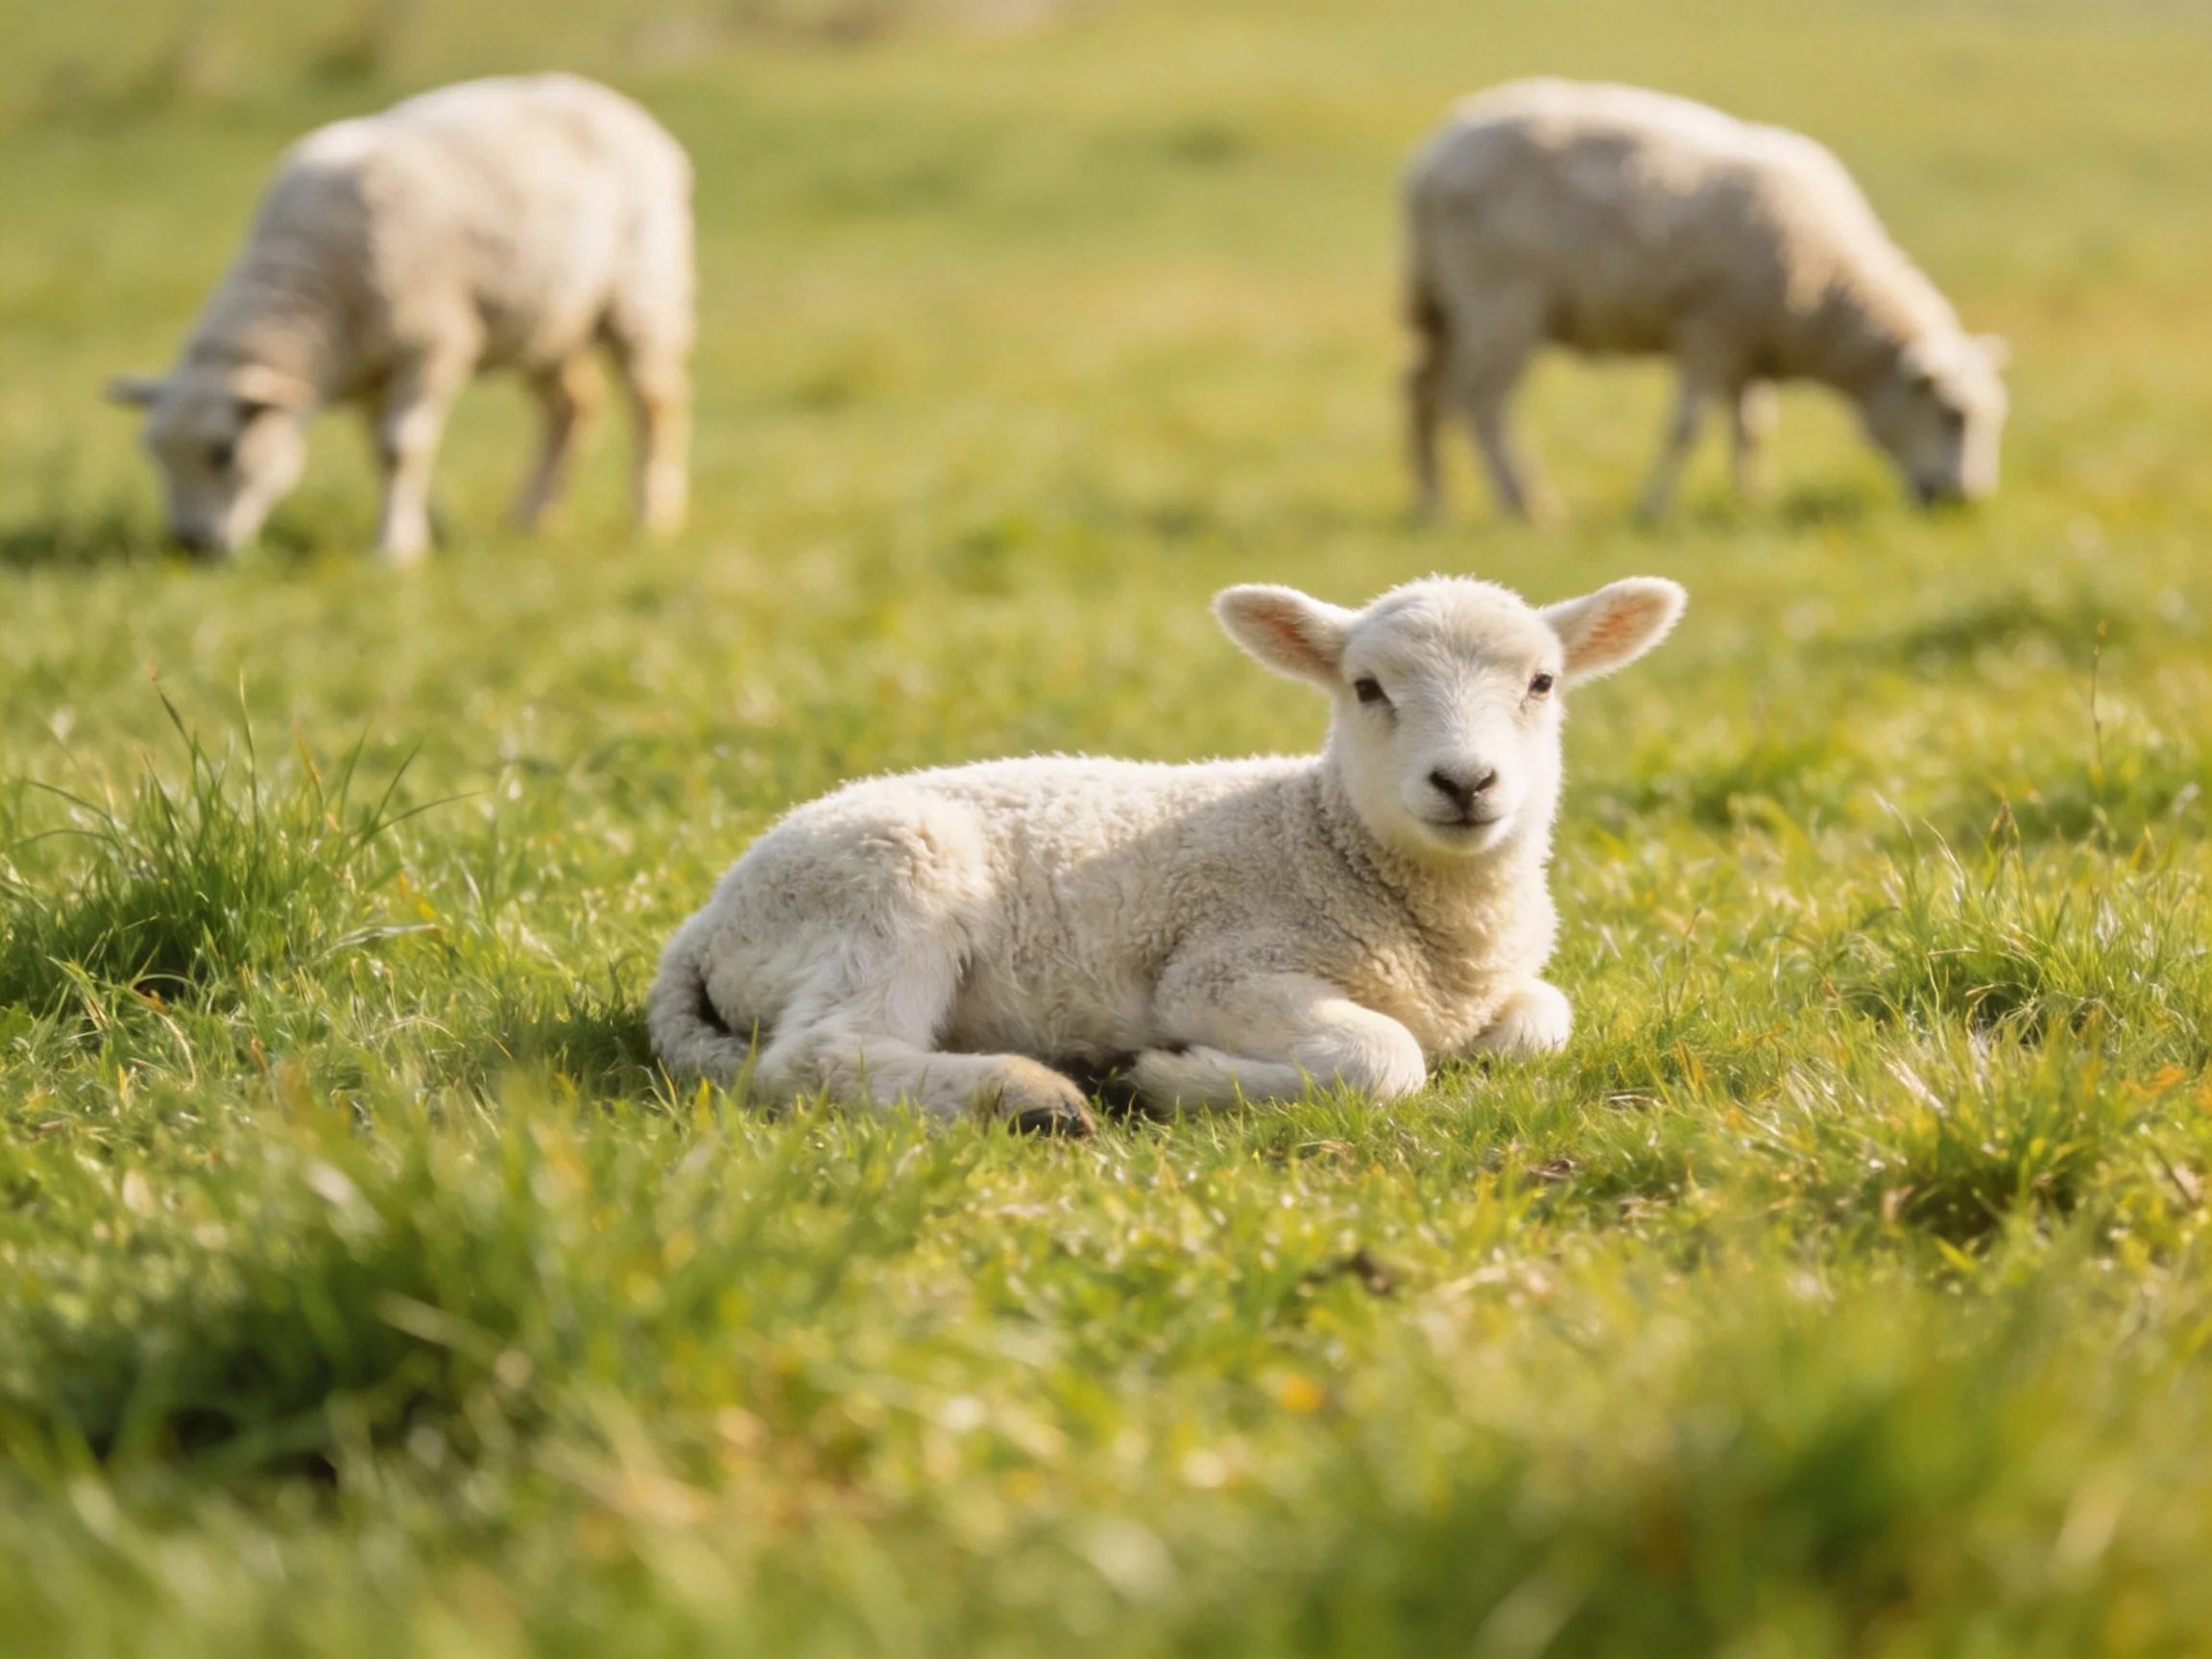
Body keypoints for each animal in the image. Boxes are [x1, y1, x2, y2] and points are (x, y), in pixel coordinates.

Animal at [106, 74, 694, 563]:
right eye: (154, 454)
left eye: (223, 453)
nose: (190, 547)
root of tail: (609, 100)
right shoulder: (372, 371)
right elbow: (381, 455)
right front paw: (415, 525)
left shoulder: (432, 344)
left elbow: (401, 448)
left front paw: (396, 550)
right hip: (546, 322)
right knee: (572, 407)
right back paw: (534, 519)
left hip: (644, 298)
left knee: (655, 405)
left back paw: (653, 520)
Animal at [647, 572, 1686, 1134]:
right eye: (1366, 688)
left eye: (1542, 682)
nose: (1466, 783)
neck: (1323, 838)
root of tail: (707, 922)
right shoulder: (1222, 969)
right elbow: (1388, 1056)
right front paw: (1172, 1077)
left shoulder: (1503, 991)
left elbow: (1542, 1018)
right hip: (885, 884)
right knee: (819, 1054)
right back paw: (1031, 1096)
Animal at [1403, 78, 2010, 520]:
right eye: (1953, 415)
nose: (1965, 500)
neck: (1827, 298)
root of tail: (1431, 161)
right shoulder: (1710, 331)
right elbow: (1685, 427)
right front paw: (1652, 508)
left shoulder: (1747, 345)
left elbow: (1752, 428)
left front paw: (1753, 497)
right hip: (1501, 299)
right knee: (1482, 403)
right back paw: (1528, 506)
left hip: (1445, 305)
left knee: (1423, 390)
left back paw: (1436, 502)